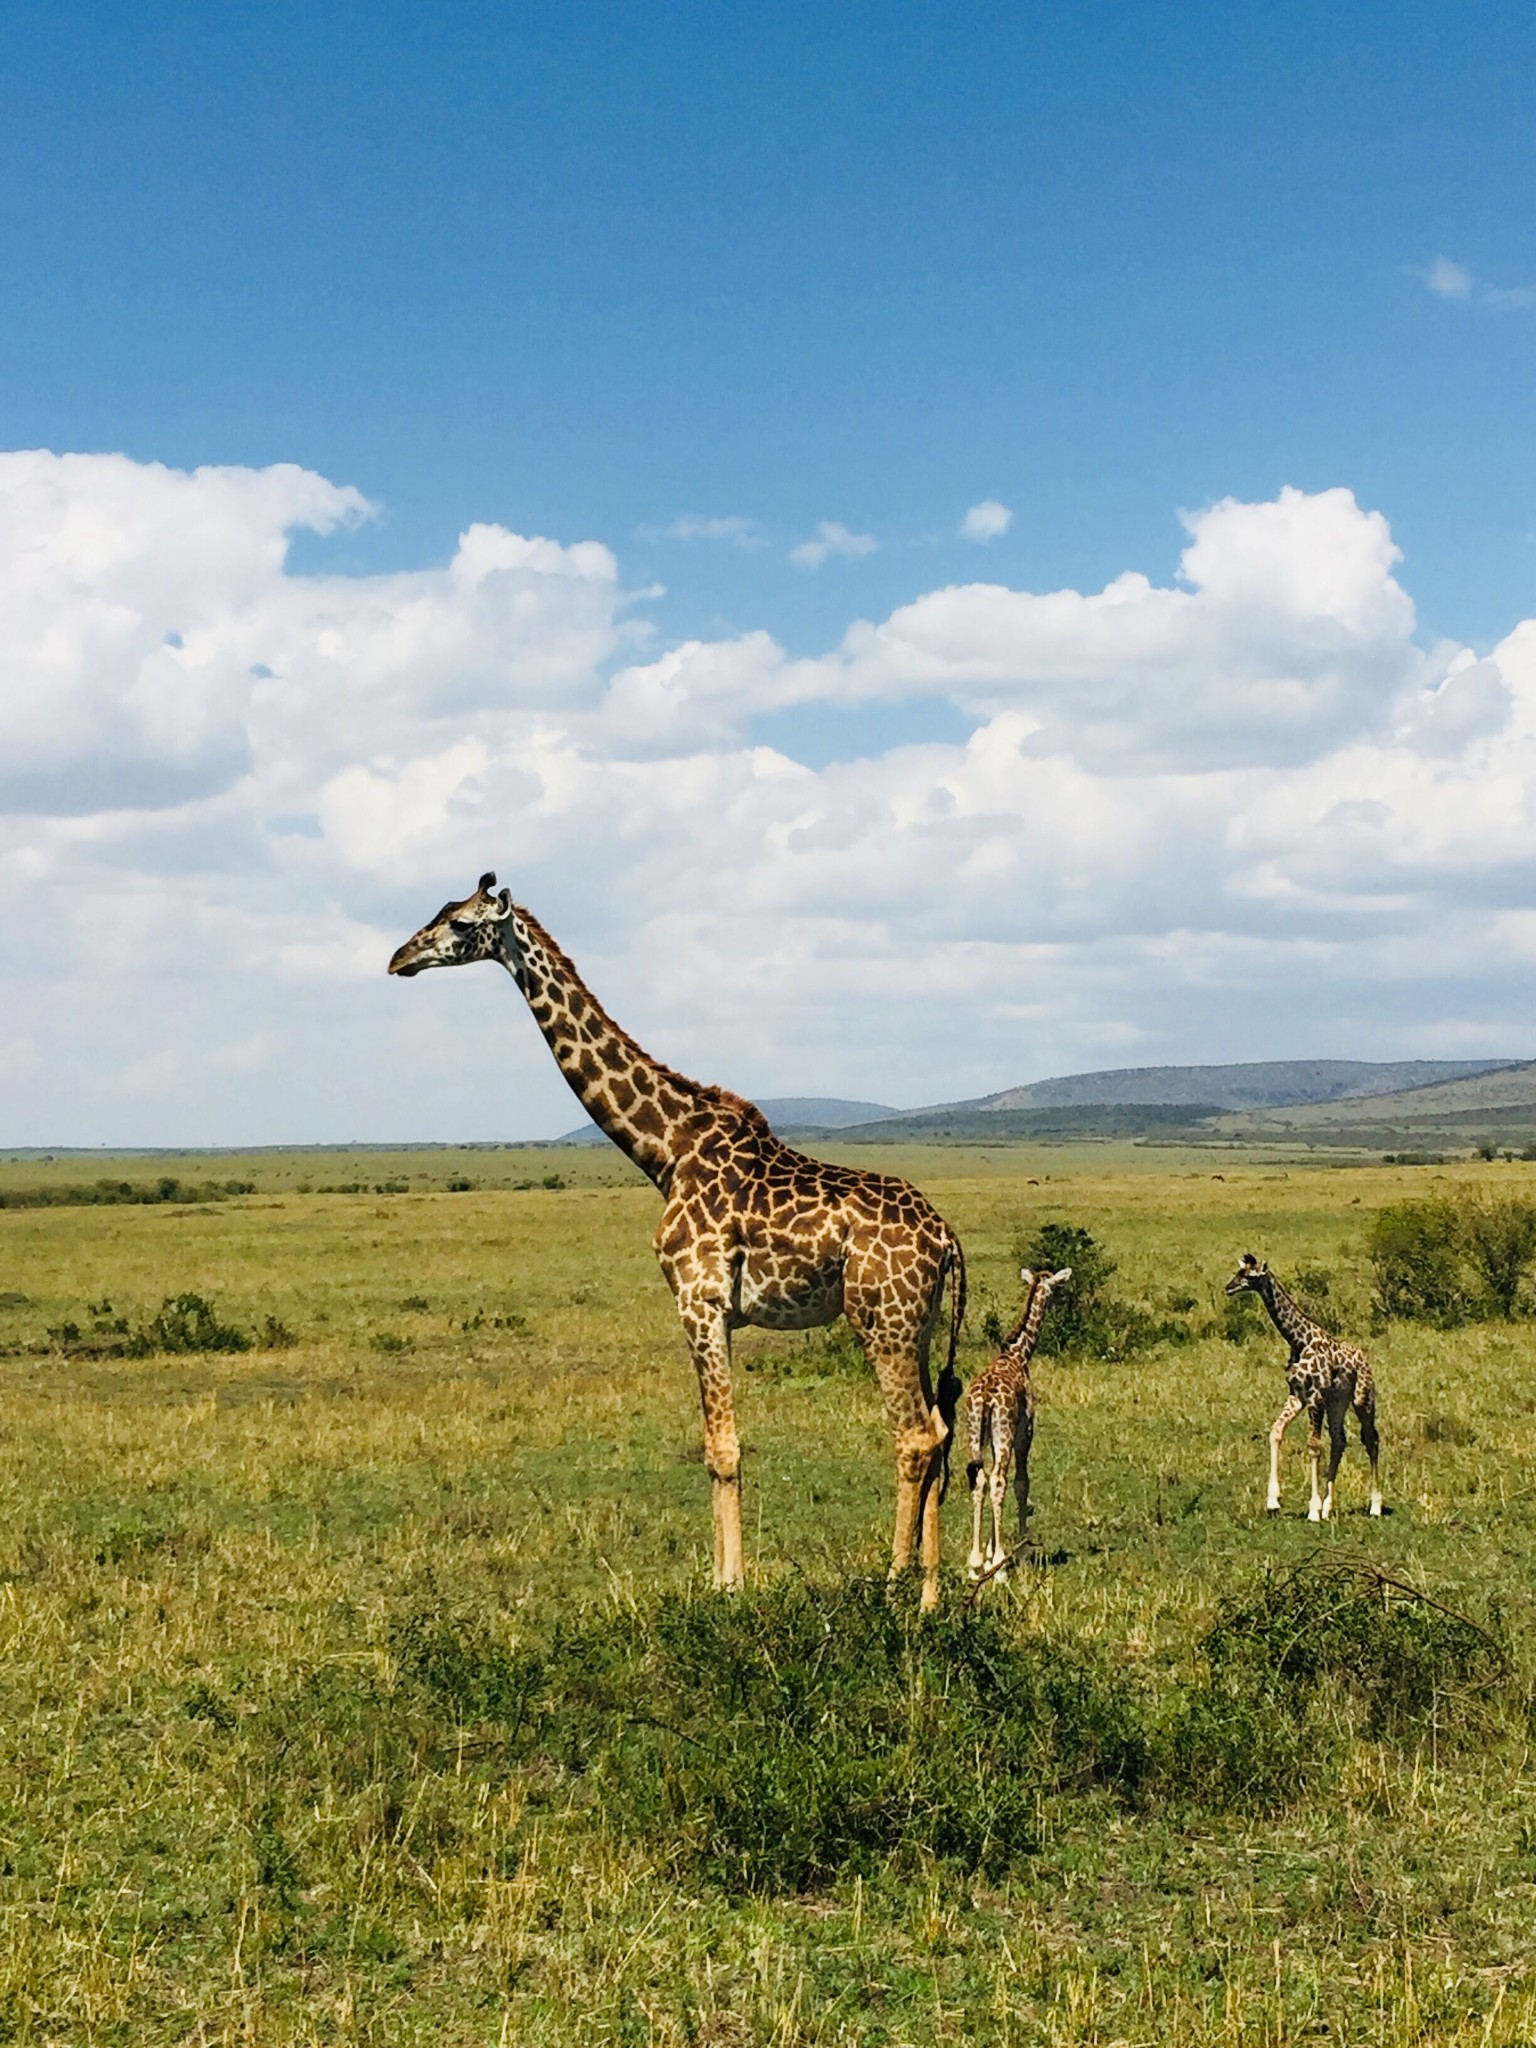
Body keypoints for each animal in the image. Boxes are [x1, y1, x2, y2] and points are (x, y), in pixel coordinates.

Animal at [387, 872, 962, 1605]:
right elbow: (715, 1446)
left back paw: (895, 1586)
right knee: (939, 1430)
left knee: (913, 1436)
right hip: (918, 1323)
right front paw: (721, 1580)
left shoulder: (698, 1300)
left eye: (461, 924)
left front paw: (730, 1589)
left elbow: (723, 1449)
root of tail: (945, 1236)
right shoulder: (715, 1310)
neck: (665, 1150)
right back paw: (931, 1591)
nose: (399, 959)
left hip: (881, 1319)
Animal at [966, 1261, 1073, 1581]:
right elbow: (1021, 1482)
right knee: (999, 1480)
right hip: (1003, 1431)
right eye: (1056, 1287)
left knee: (980, 1479)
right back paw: (1000, 1566)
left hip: (974, 1432)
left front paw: (988, 1554)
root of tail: (986, 1395)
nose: (1059, 1302)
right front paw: (1020, 1550)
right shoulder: (1024, 1430)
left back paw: (975, 1565)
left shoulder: (994, 1438)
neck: (1018, 1353)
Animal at [1236, 1245, 1392, 1523]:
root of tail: (1365, 1358)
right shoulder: (1297, 1396)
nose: (1229, 1287)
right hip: (1337, 1401)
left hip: (1362, 1398)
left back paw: (1375, 1506)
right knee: (1340, 1441)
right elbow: (1276, 1432)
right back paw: (1329, 1507)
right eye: (1237, 1272)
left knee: (1371, 1440)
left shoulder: (1315, 1397)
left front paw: (1313, 1509)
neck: (1299, 1340)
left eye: (1250, 1276)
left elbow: (1313, 1447)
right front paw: (1273, 1501)